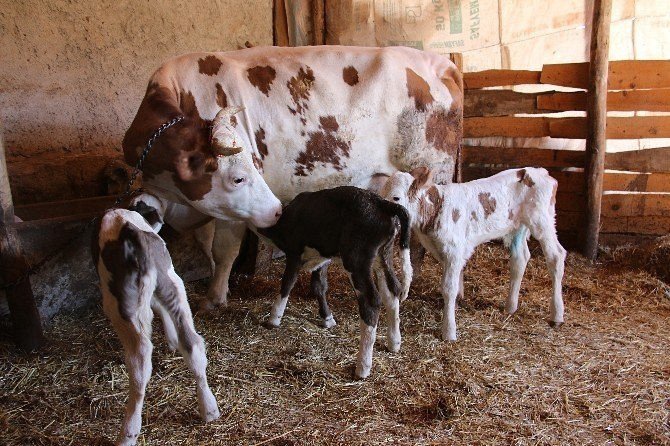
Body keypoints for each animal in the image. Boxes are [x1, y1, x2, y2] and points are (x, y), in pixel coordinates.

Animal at [92, 206, 220, 446]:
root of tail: (129, 227)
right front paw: (171, 340)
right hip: (173, 283)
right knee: (193, 343)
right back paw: (209, 408)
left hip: (120, 305)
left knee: (140, 361)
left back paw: (128, 433)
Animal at [123, 45, 464, 310]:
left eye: (240, 177)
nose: (276, 210)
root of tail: (441, 62)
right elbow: (206, 244)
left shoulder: (232, 207)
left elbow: (224, 248)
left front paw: (215, 297)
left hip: (432, 172)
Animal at [258, 186, 412, 378]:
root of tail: (382, 203)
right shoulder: (323, 258)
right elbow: (319, 286)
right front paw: (327, 319)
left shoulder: (294, 252)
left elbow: (287, 282)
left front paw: (274, 319)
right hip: (383, 254)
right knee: (392, 291)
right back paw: (394, 343)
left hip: (356, 259)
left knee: (371, 301)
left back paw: (362, 367)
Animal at [384, 167, 568, 342]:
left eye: (396, 198)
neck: (436, 207)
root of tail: (539, 171)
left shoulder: (454, 250)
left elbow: (448, 288)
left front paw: (449, 330)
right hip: (518, 225)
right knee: (520, 258)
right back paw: (510, 306)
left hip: (542, 221)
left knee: (556, 256)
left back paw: (557, 315)